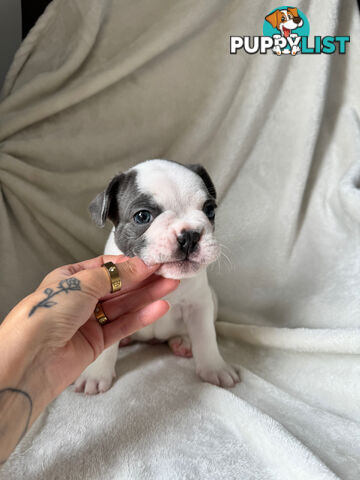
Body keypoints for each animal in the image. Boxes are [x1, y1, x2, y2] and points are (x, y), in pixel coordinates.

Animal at [73, 161, 240, 394]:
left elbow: (206, 336)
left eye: (209, 210)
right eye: (142, 216)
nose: (189, 235)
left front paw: (215, 368)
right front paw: (96, 374)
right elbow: (106, 347)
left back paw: (183, 342)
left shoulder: (200, 305)